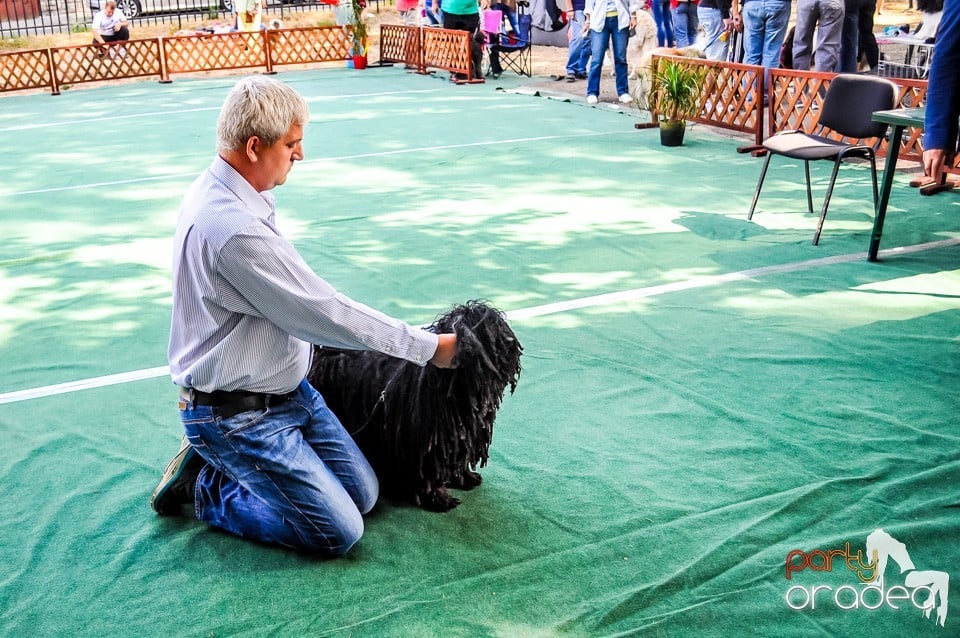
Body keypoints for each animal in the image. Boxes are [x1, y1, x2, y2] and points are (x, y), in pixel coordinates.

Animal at [308, 302, 520, 516]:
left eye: (499, 326)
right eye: (481, 329)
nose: (510, 341)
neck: (456, 387)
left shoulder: (460, 435)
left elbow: (457, 459)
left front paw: (464, 477)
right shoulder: (426, 445)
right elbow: (429, 473)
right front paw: (438, 498)